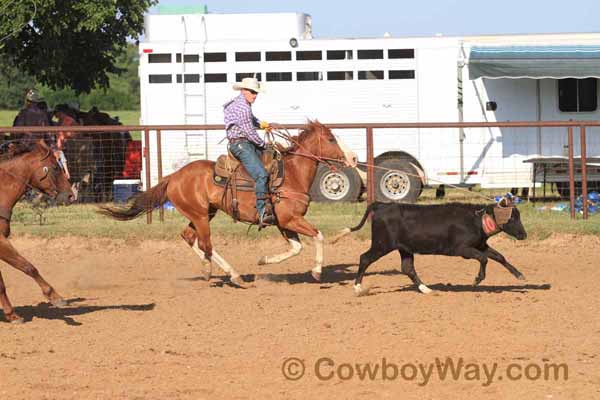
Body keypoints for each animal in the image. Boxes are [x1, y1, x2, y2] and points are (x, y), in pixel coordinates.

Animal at [0, 141, 74, 322]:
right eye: (55, 168)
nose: (71, 196)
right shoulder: (0, 242)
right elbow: (28, 267)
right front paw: (55, 297)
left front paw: (11, 314)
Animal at [99, 122, 356, 288]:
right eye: (332, 139)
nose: (353, 158)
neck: (292, 174)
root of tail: (173, 177)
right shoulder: (290, 219)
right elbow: (318, 236)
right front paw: (317, 271)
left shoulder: (283, 222)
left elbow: (296, 248)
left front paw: (264, 260)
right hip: (200, 215)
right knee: (206, 244)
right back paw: (227, 274)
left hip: (204, 213)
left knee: (189, 237)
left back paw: (218, 271)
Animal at [330, 198, 528, 296]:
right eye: (512, 217)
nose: (523, 235)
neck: (476, 220)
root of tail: (382, 206)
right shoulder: (462, 250)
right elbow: (484, 258)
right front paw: (477, 280)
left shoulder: (481, 245)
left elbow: (499, 257)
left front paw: (520, 275)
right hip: (382, 244)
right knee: (364, 258)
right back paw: (358, 288)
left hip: (405, 249)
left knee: (407, 268)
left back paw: (426, 289)